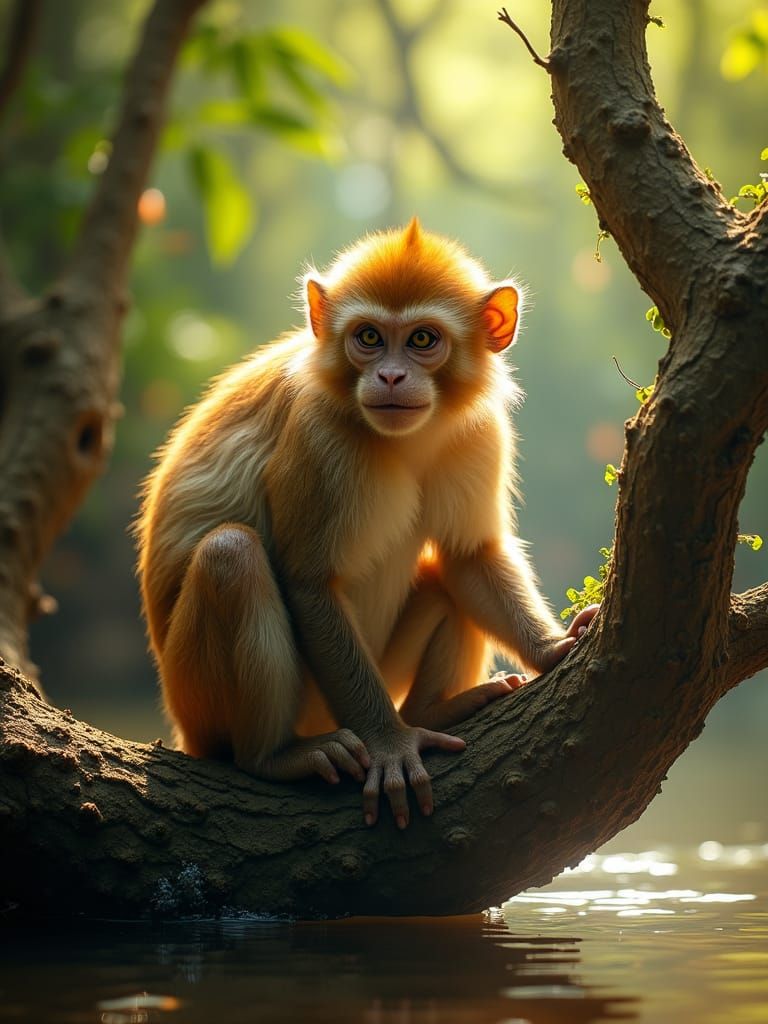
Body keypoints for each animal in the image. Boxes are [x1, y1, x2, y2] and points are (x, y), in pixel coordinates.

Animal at [136, 219, 596, 829]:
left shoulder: (479, 431)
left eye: (422, 340)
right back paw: (274, 756)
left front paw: (551, 649)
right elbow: (310, 583)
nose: (392, 375)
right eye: (370, 337)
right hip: (212, 704)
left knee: (444, 580)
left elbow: (469, 554)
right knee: (230, 554)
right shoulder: (321, 436)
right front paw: (389, 744)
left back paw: (435, 711)